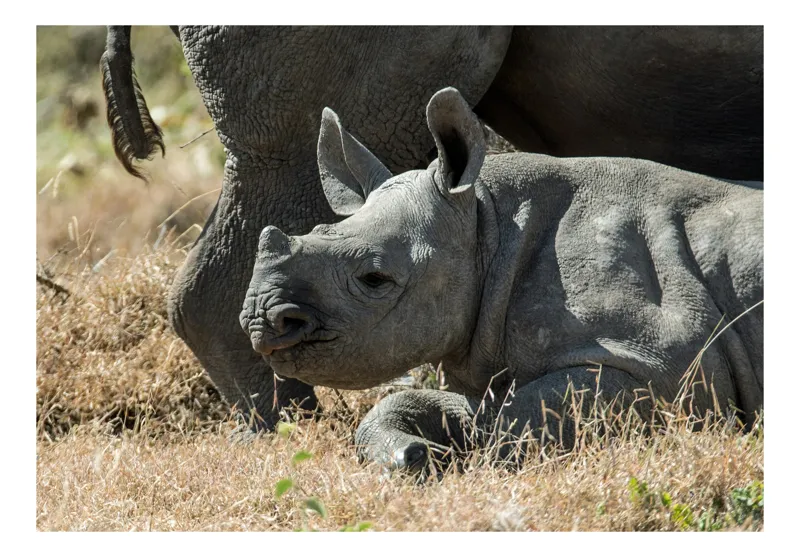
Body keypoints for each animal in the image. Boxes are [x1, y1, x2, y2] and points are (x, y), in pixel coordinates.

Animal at [239, 88, 763, 470]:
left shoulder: (662, 366)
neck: (486, 224)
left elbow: (516, 420)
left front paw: (445, 458)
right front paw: (411, 455)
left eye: (374, 278)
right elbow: (463, 407)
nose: (260, 321)